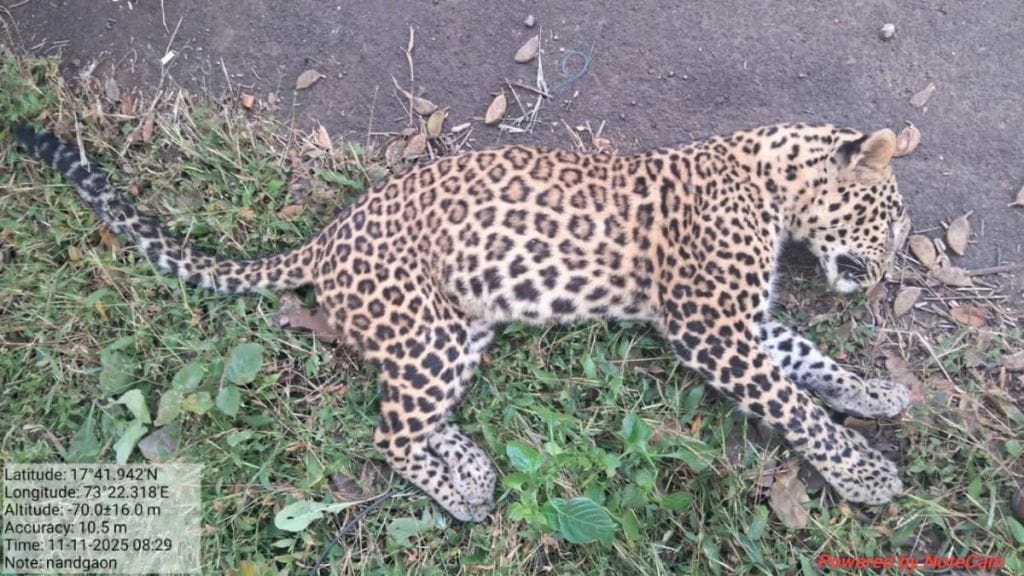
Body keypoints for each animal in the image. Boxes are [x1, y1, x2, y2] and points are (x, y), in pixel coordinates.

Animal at [16, 121, 912, 522]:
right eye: (892, 219)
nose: (884, 281)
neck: (771, 182)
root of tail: (326, 237)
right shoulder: (712, 327)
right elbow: (794, 406)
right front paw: (867, 474)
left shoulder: (744, 325)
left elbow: (811, 362)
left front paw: (876, 394)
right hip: (427, 330)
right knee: (388, 433)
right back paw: (463, 494)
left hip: (461, 329)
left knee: (414, 418)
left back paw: (472, 468)